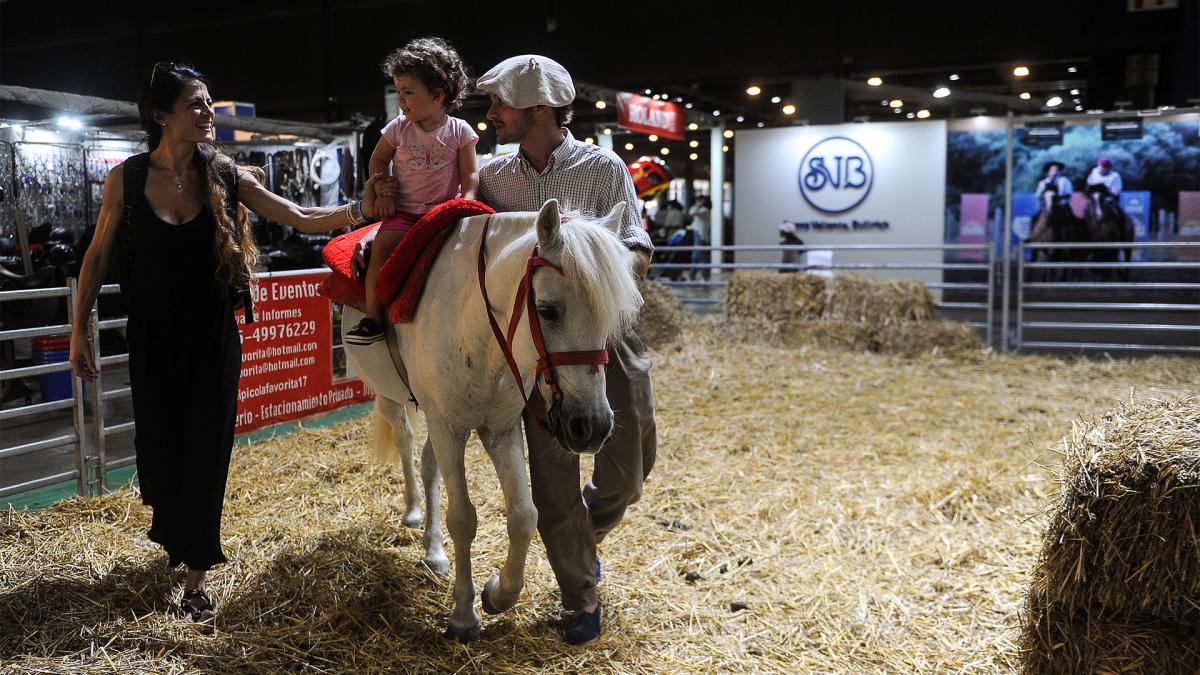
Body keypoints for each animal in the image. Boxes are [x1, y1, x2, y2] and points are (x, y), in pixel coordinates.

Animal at [343, 196, 643, 638]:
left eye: (610, 317)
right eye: (547, 310)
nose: (593, 426)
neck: (476, 327)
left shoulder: (498, 429)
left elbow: (524, 515)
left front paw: (499, 594)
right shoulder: (450, 426)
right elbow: (464, 518)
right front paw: (463, 616)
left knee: (430, 464)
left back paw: (434, 550)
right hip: (390, 395)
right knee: (405, 440)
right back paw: (413, 512)